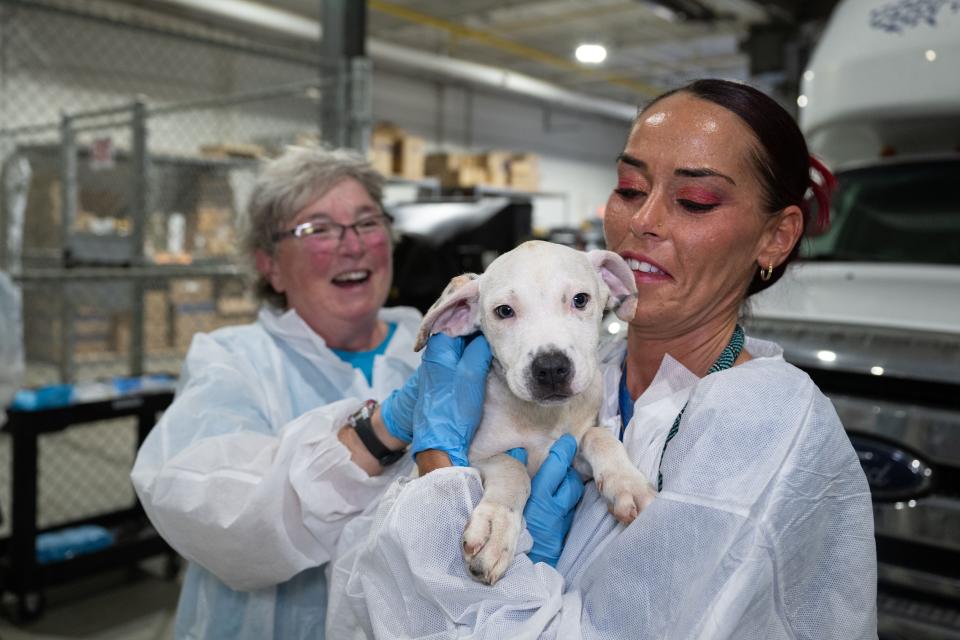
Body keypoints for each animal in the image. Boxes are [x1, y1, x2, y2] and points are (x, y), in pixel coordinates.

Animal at [412, 240, 652, 584]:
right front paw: (495, 528)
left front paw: (627, 483)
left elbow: (598, 436)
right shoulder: (473, 456)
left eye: (581, 299)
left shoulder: (571, 456)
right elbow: (513, 468)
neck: (540, 418)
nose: (551, 368)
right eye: (504, 311)